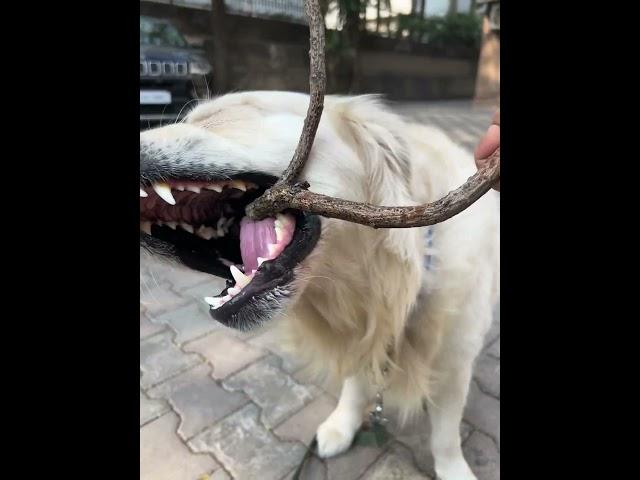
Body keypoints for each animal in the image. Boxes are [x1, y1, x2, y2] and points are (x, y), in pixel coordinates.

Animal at [140, 91, 500, 480]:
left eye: (221, 114)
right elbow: (356, 387)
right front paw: (342, 426)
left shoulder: (455, 364)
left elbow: (445, 435)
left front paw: (453, 469)